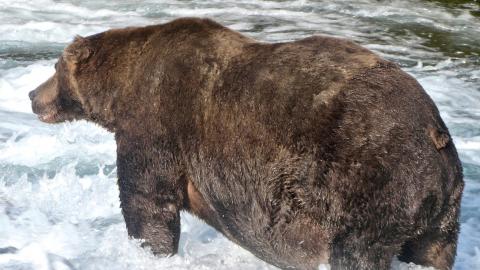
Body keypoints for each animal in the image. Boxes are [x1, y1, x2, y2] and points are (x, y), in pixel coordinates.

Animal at [28, 17, 464, 270]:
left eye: (54, 68)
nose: (32, 95)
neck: (120, 90)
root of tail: (435, 133)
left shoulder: (157, 121)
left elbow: (147, 199)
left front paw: (148, 250)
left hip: (368, 182)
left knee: (355, 252)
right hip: (439, 212)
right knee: (432, 253)